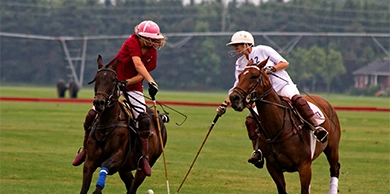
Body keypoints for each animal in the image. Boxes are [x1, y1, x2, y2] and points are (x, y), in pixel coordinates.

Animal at [80, 54, 167, 194]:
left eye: (113, 80)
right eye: (96, 79)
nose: (99, 102)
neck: (106, 125)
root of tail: (159, 116)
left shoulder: (117, 158)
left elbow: (104, 168)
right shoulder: (90, 161)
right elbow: (84, 188)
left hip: (145, 166)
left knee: (133, 186)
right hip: (124, 169)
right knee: (130, 185)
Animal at [229, 58, 342, 193]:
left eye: (254, 76)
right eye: (240, 76)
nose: (234, 98)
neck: (278, 128)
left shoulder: (304, 166)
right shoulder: (273, 167)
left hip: (332, 148)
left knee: (334, 169)